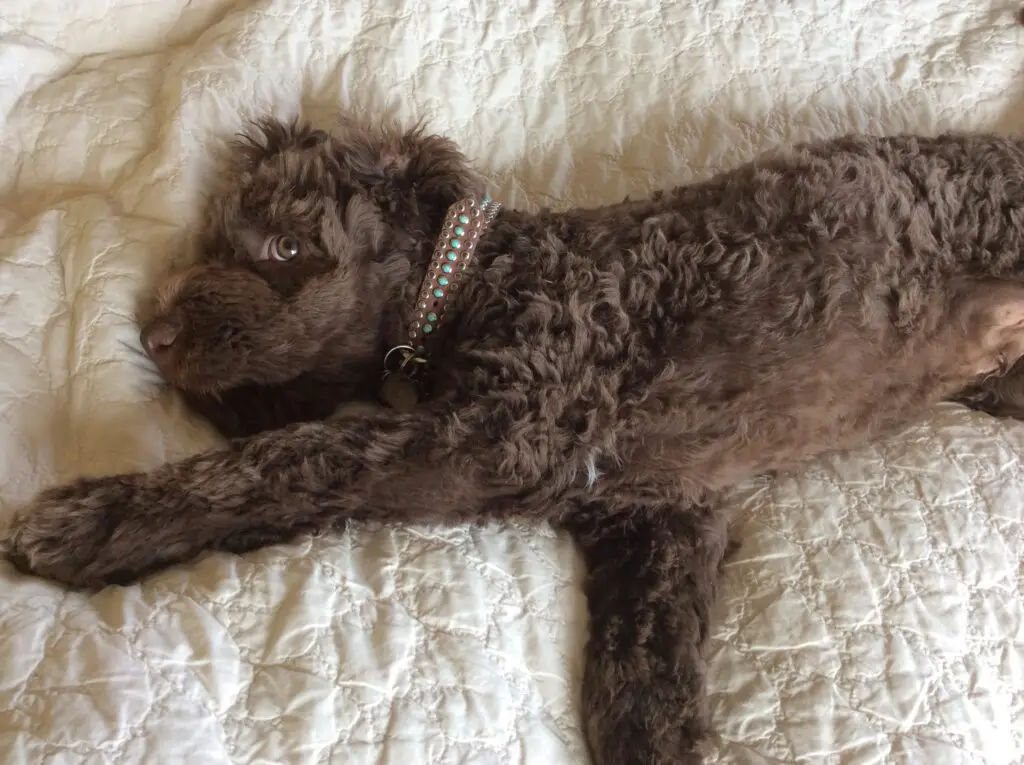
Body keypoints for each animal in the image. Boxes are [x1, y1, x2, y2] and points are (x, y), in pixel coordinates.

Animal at [2, 119, 1024, 765]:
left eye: (283, 250)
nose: (153, 332)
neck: (475, 284)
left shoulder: (492, 437)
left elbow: (278, 466)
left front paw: (95, 519)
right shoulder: (654, 512)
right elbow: (638, 670)